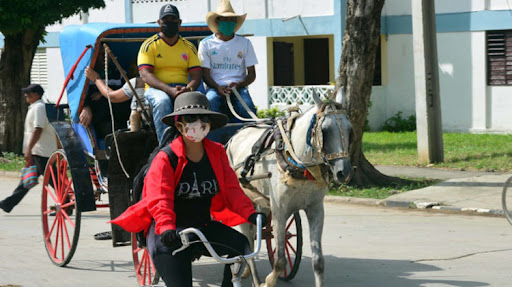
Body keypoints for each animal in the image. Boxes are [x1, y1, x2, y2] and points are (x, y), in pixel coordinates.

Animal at [226, 93, 354, 286]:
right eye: (324, 131)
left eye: (349, 130)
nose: (343, 172)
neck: (299, 164)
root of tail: (234, 137)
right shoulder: (280, 211)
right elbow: (279, 261)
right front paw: (268, 281)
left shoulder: (316, 209)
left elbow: (318, 262)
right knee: (248, 237)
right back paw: (254, 276)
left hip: (260, 202)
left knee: (252, 232)